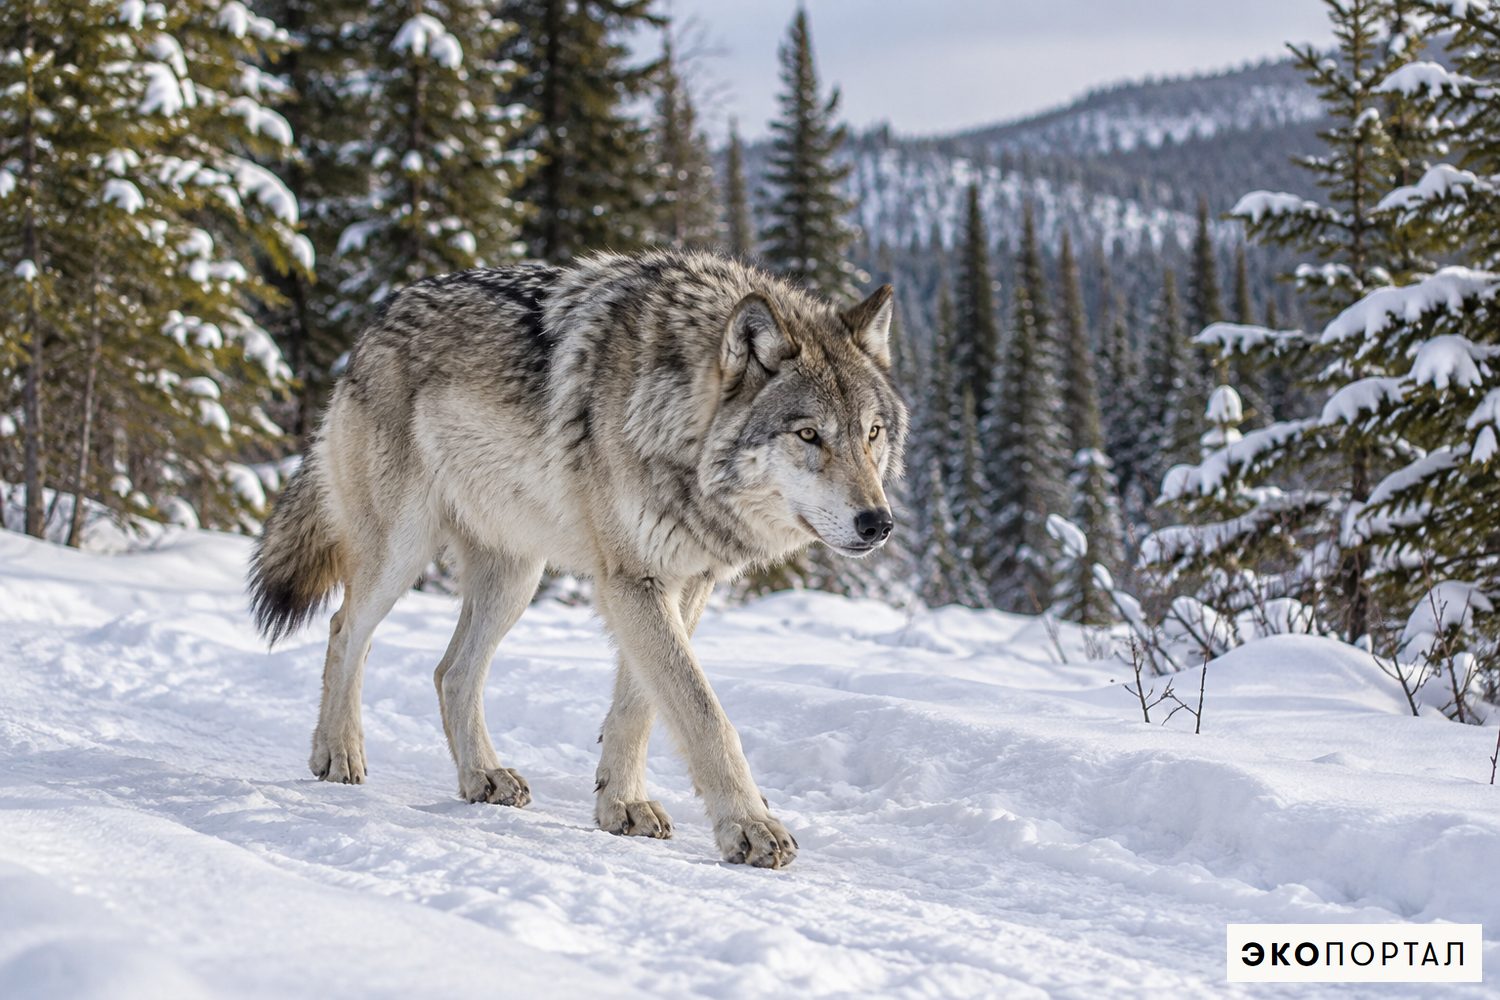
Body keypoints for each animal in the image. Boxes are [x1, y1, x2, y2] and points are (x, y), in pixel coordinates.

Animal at [249, 249, 906, 868]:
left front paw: (622, 804)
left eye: (871, 433)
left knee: (450, 671)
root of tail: (376, 322)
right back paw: (338, 753)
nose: (878, 524)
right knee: (345, 630)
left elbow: (641, 705)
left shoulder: (683, 583)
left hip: (516, 576)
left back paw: (481, 776)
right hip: (401, 551)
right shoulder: (632, 580)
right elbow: (704, 714)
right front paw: (749, 827)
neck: (672, 422)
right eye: (808, 435)